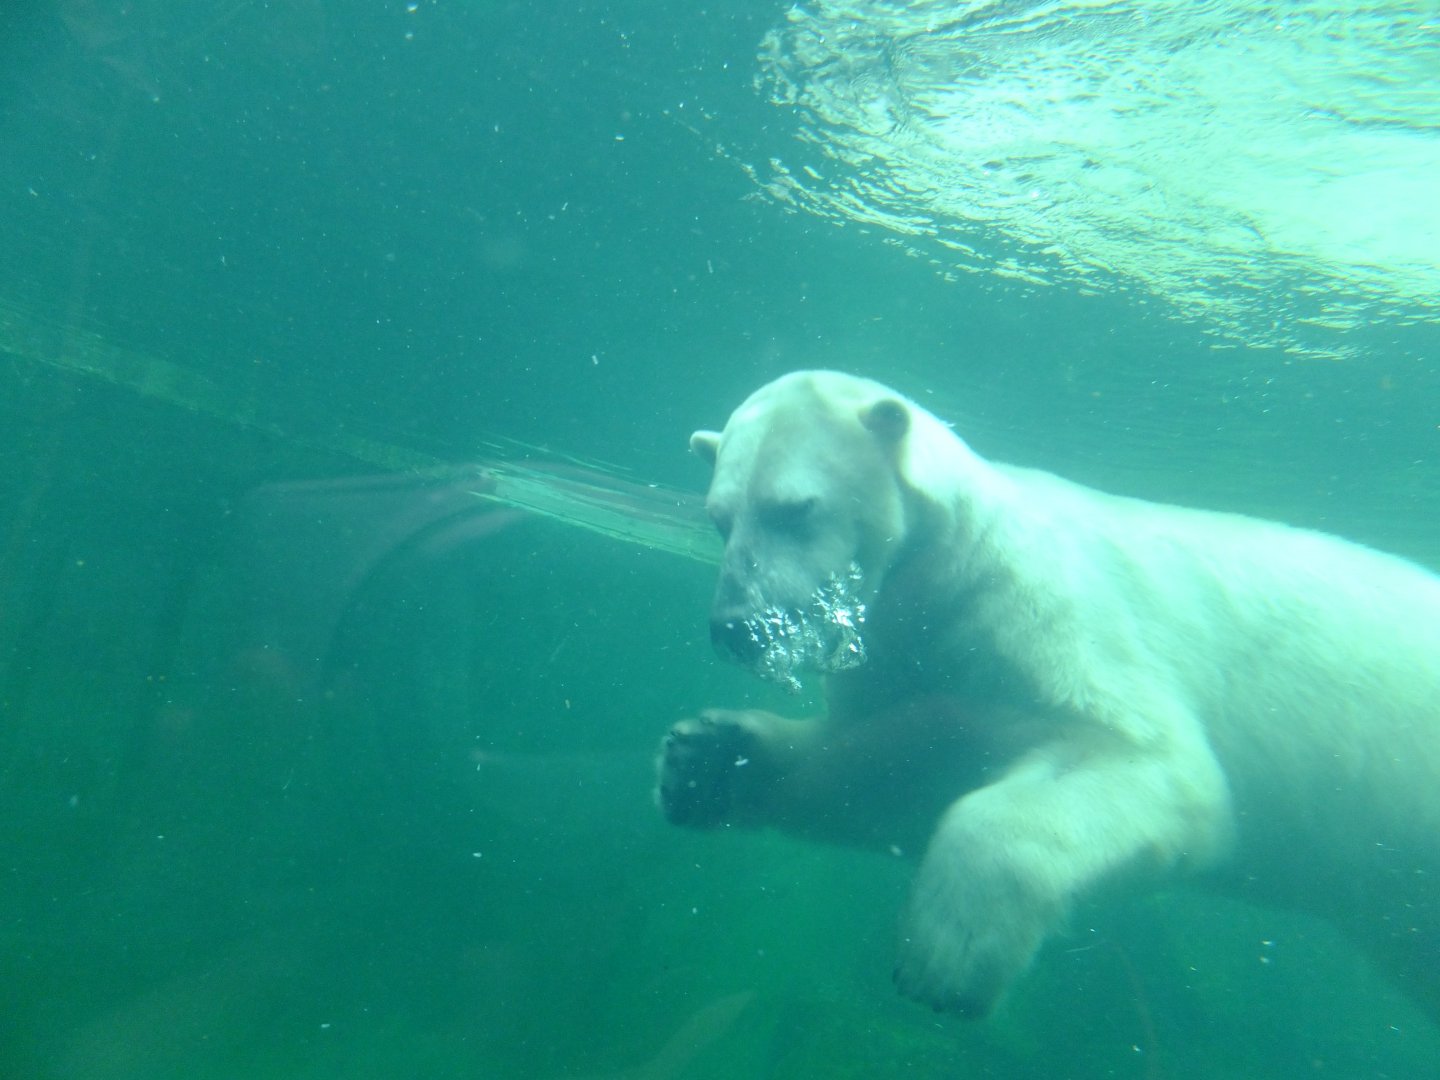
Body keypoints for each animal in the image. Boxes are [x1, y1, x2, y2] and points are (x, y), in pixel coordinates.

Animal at [656, 370, 1440, 1018]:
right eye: (718, 517)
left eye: (794, 509)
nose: (736, 628)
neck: (948, 574)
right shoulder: (910, 668)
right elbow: (887, 775)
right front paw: (703, 760)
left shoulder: (1044, 621)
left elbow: (1154, 767)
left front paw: (945, 955)